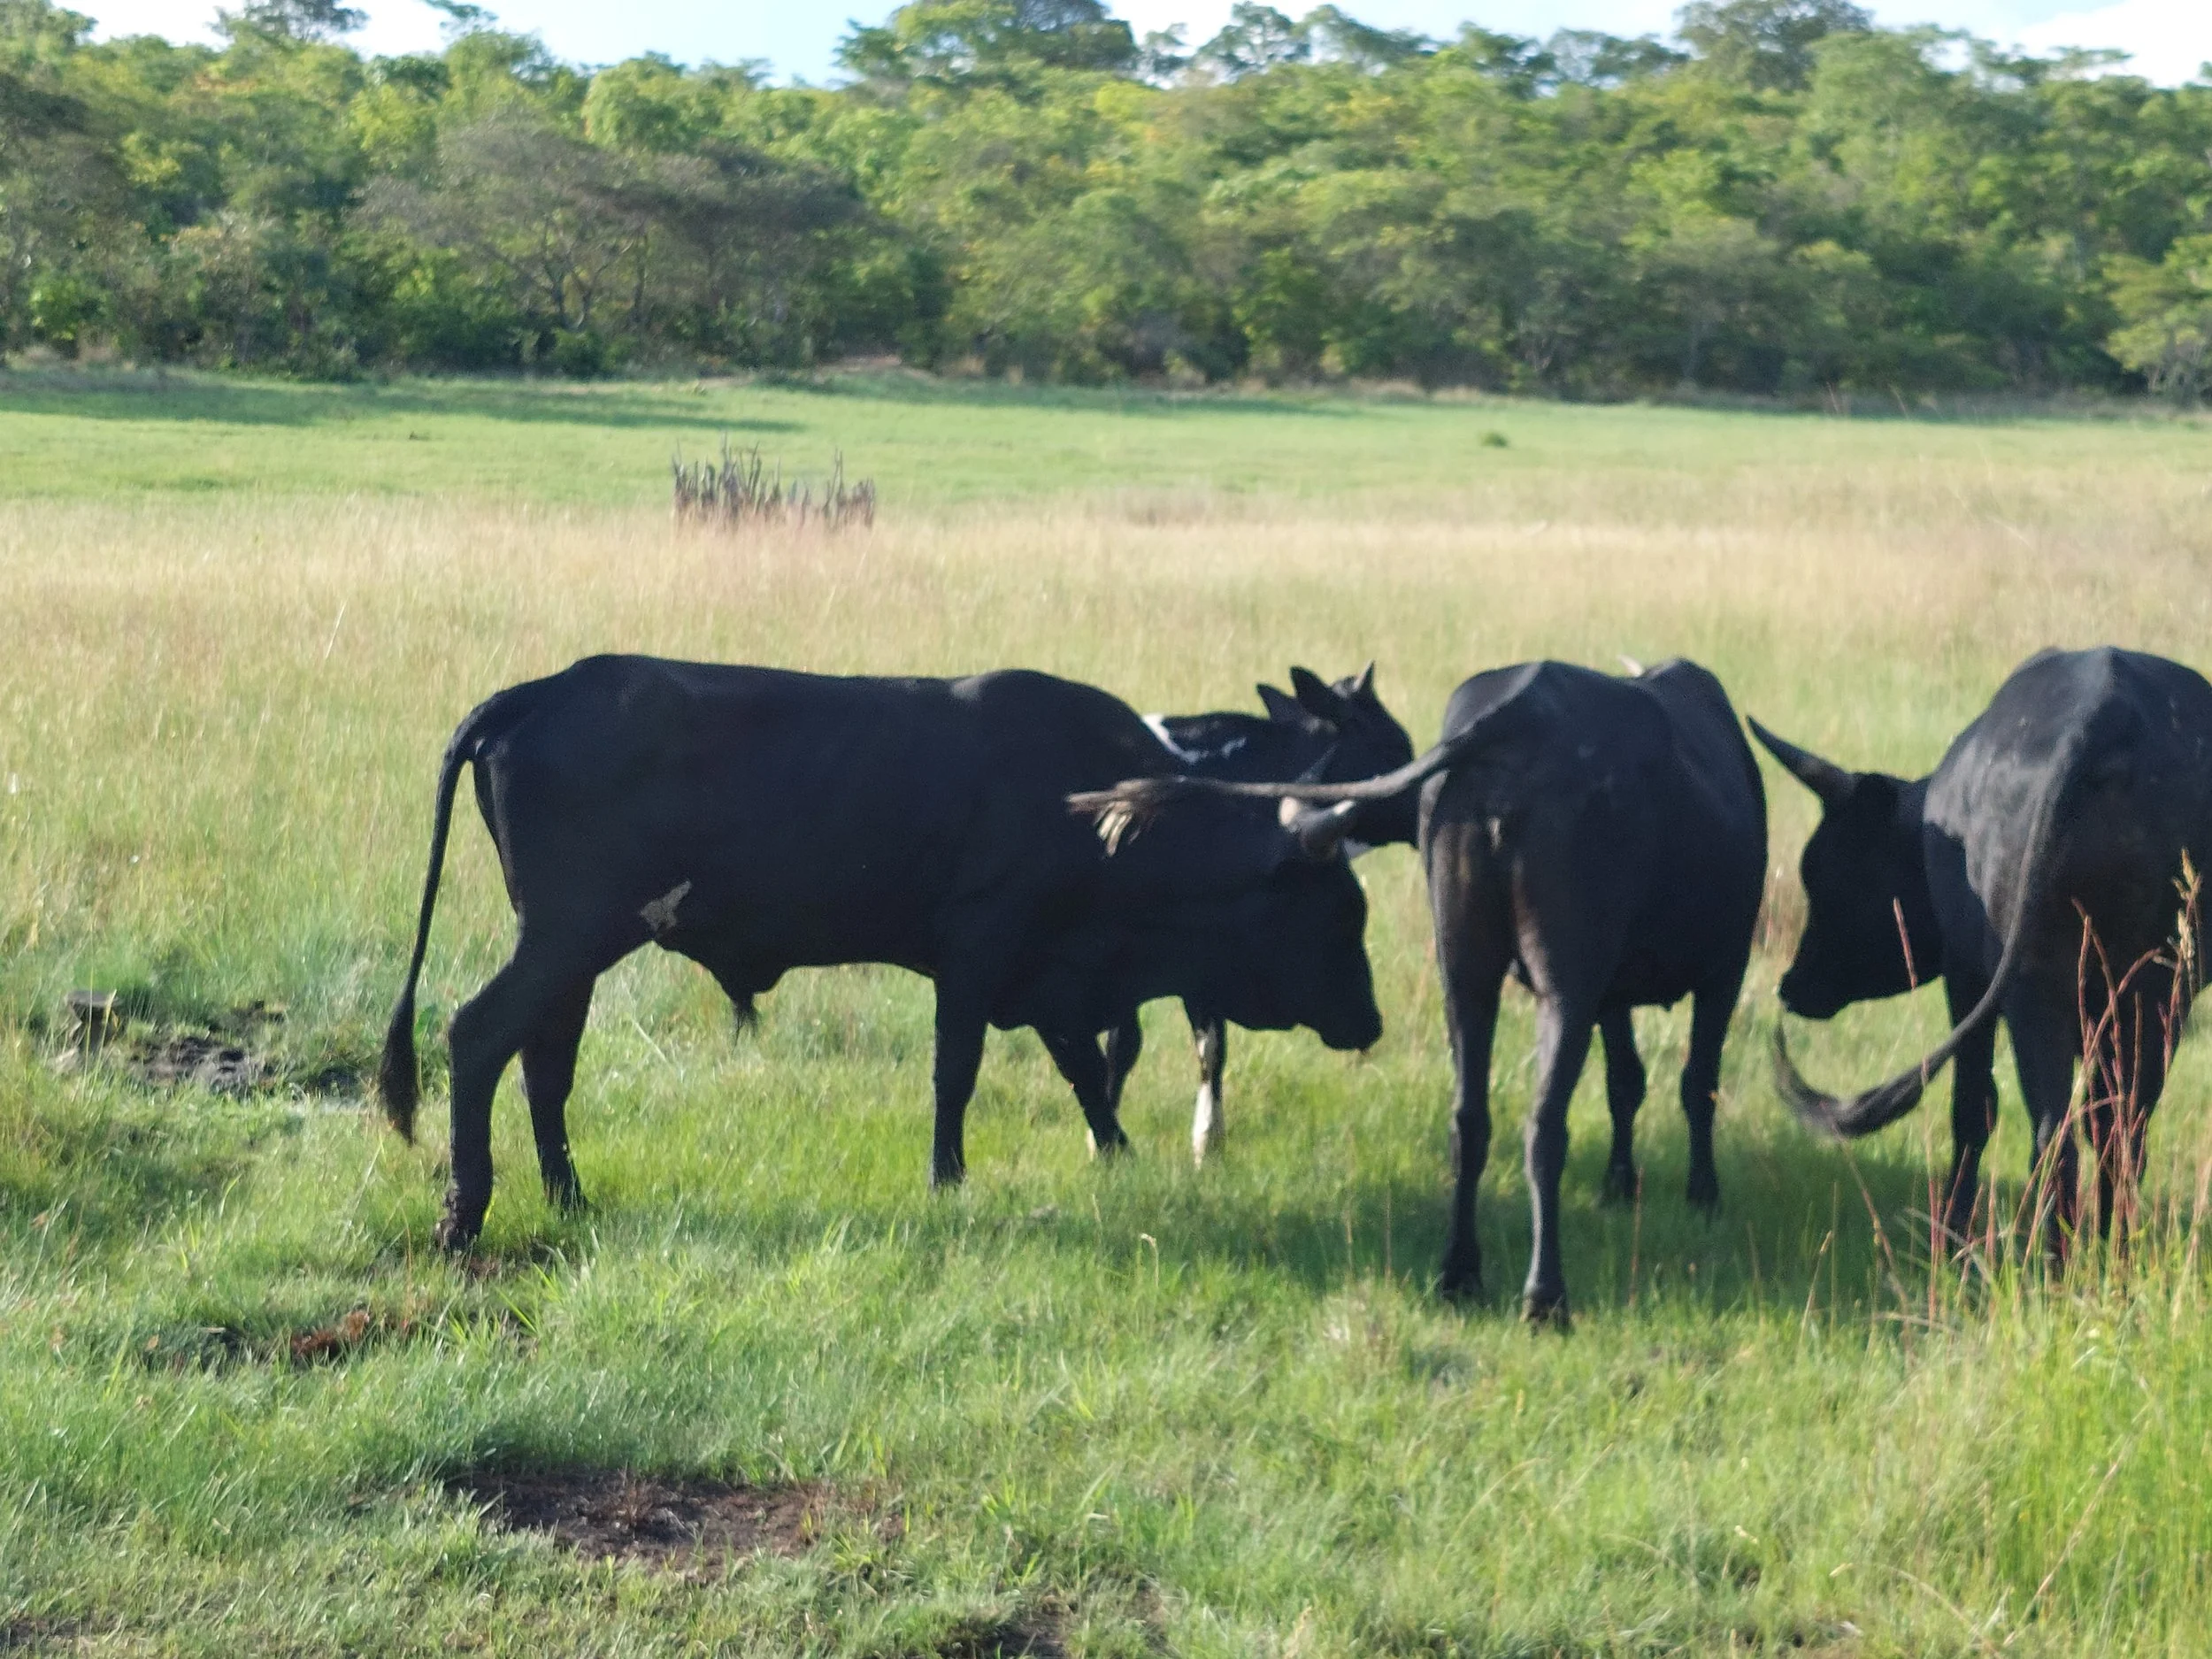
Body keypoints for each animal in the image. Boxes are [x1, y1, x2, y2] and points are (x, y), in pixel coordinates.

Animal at [377, 655, 1383, 1250]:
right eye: (1340, 911)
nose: (1371, 1022)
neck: (1105, 815)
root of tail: (538, 691)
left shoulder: (1046, 976)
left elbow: (1086, 1072)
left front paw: (1119, 1155)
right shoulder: (978, 953)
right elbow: (958, 1075)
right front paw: (949, 1181)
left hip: (573, 950)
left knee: (544, 1065)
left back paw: (570, 1199)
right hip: (568, 936)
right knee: (477, 1036)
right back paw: (465, 1215)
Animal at [1750, 646, 2212, 1254]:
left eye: (1826, 879)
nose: (1792, 985)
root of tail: (2106, 714)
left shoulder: (1964, 972)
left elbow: (1973, 1106)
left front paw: (1950, 1241)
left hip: (2036, 984)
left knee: (2053, 1131)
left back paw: (2054, 1265)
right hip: (2157, 986)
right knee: (2120, 1128)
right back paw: (2116, 1259)